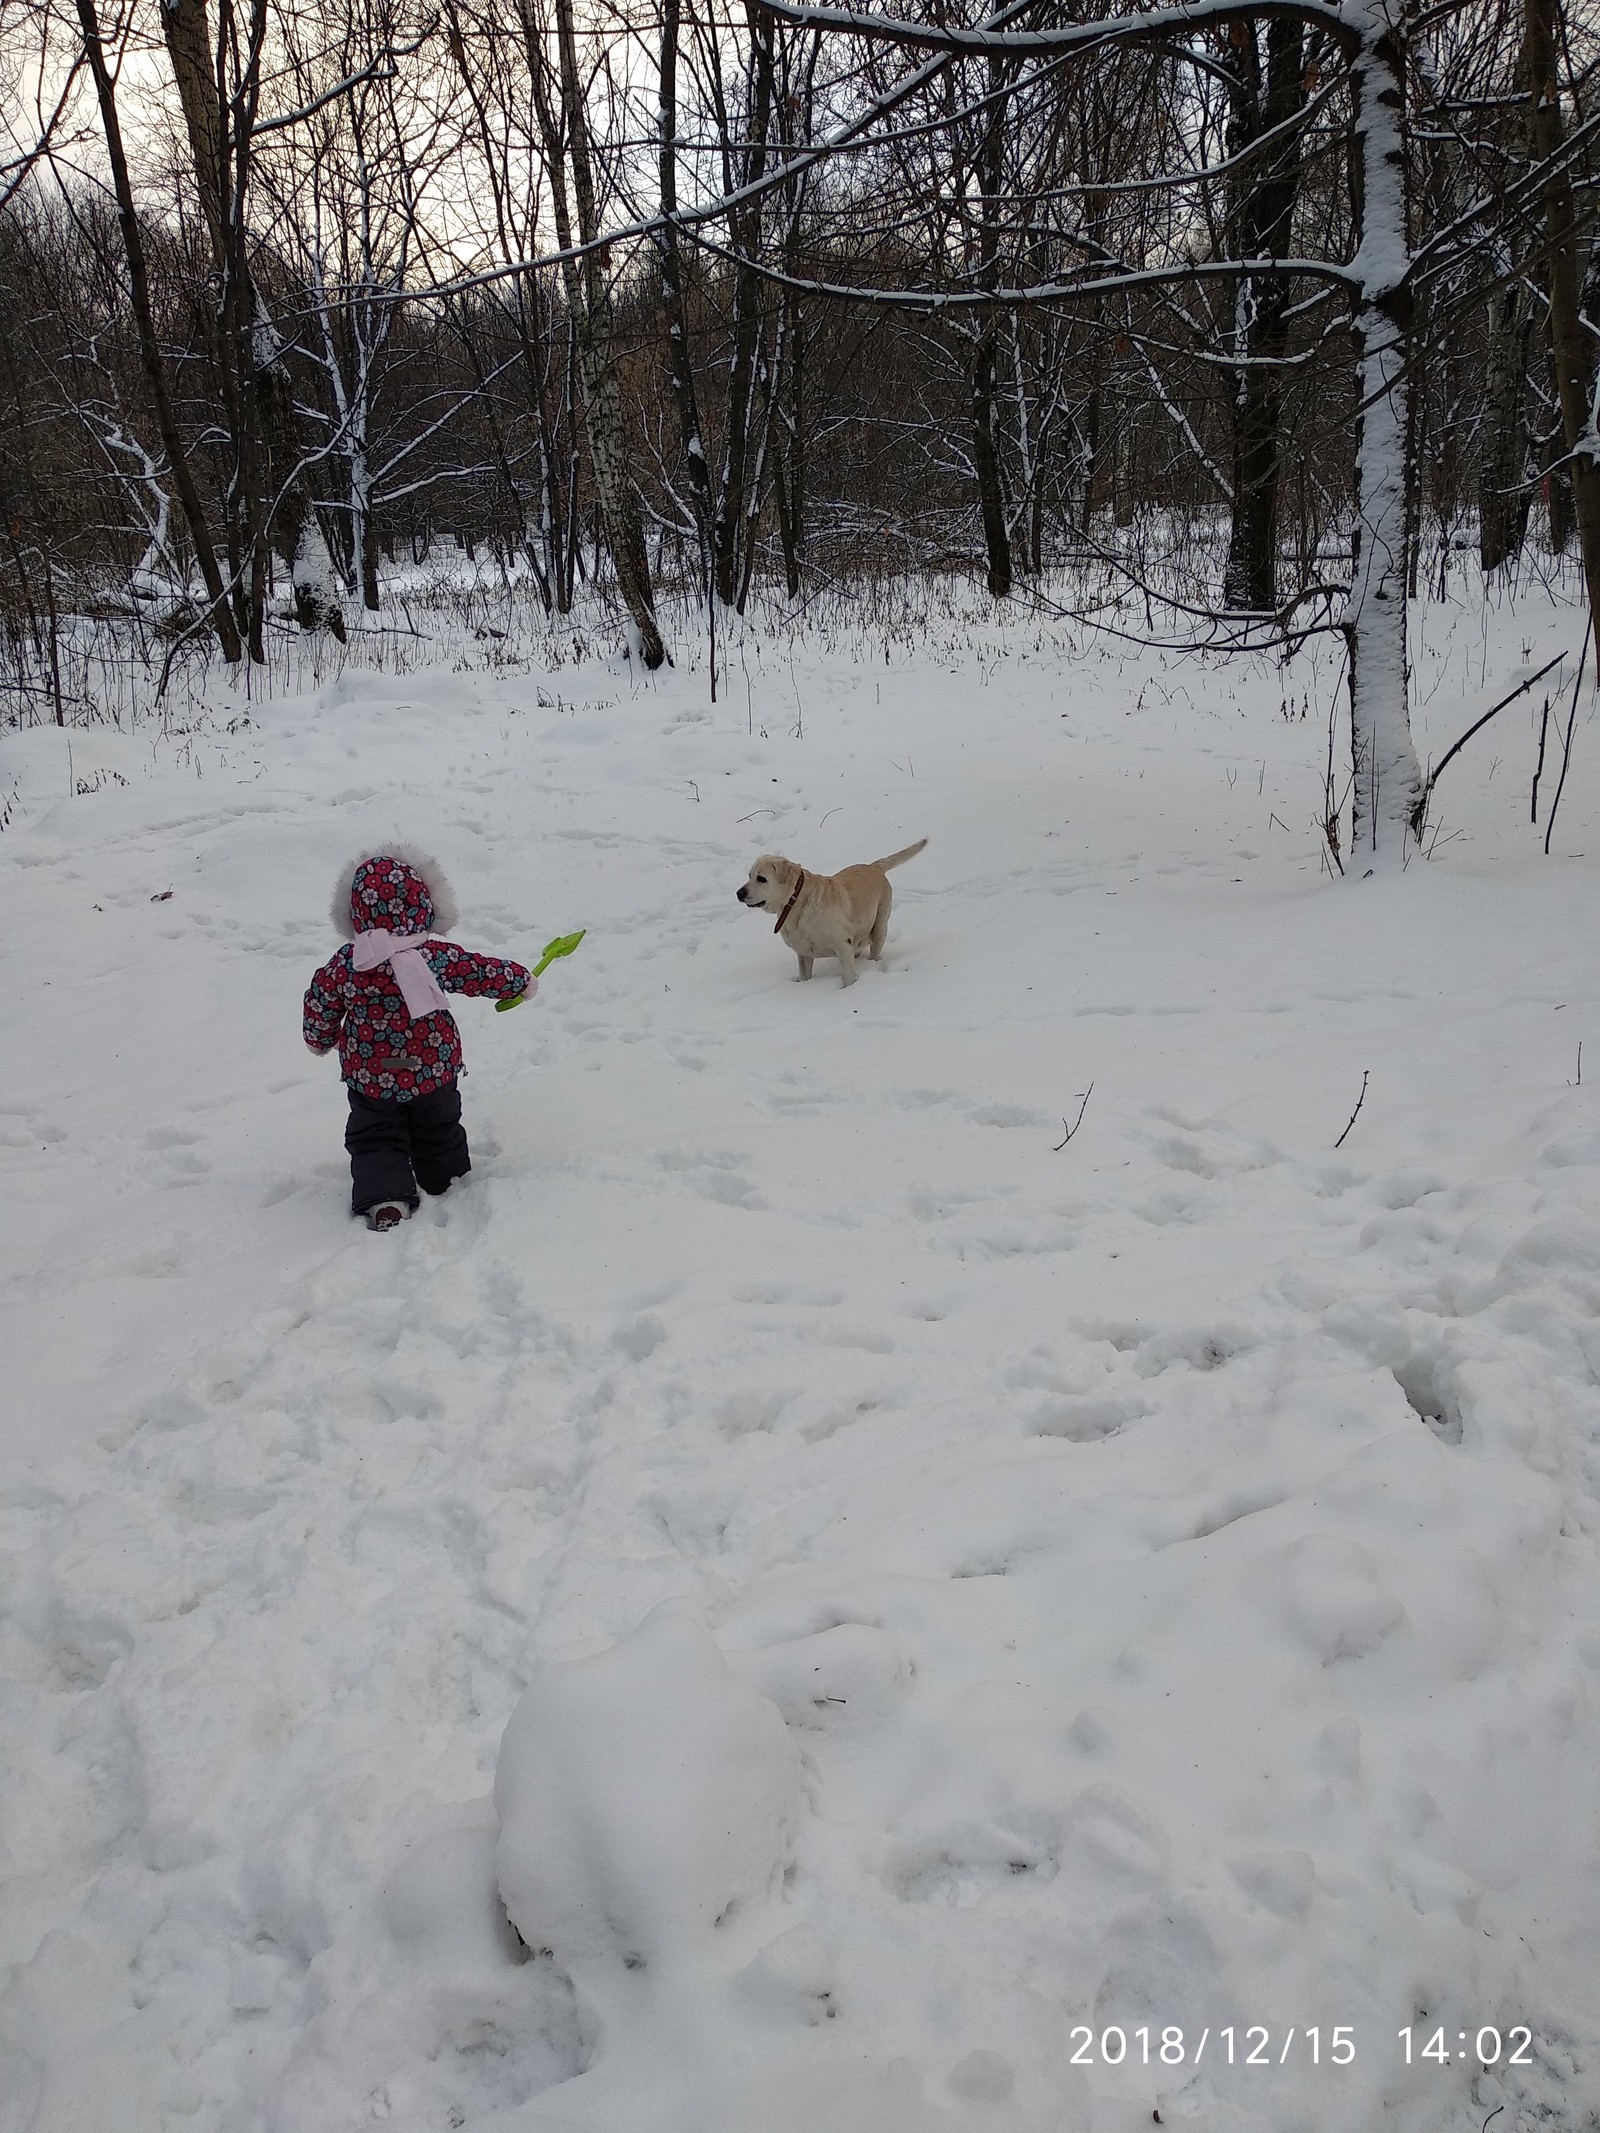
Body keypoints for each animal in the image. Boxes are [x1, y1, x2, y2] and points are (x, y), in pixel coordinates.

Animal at [738, 840, 925, 989]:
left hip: (880, 925)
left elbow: (848, 977)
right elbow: (805, 976)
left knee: (875, 948)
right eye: (749, 875)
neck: (796, 902)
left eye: (762, 878)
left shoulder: (842, 945)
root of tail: (874, 866)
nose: (739, 893)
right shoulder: (803, 953)